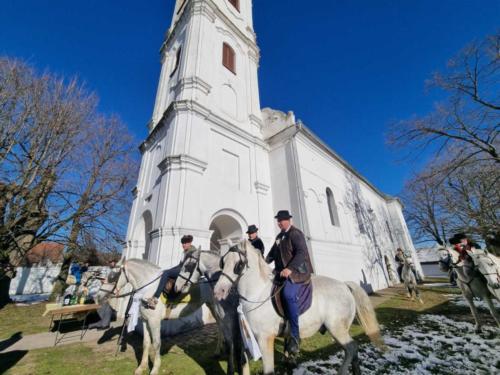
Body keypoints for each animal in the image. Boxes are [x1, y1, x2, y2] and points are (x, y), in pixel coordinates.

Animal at [212, 242, 382, 374]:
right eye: (223, 262)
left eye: (238, 265)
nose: (218, 291)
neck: (257, 293)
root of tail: (345, 285)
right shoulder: (249, 338)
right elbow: (244, 364)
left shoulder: (265, 338)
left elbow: (268, 370)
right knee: (352, 350)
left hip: (336, 328)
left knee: (351, 347)